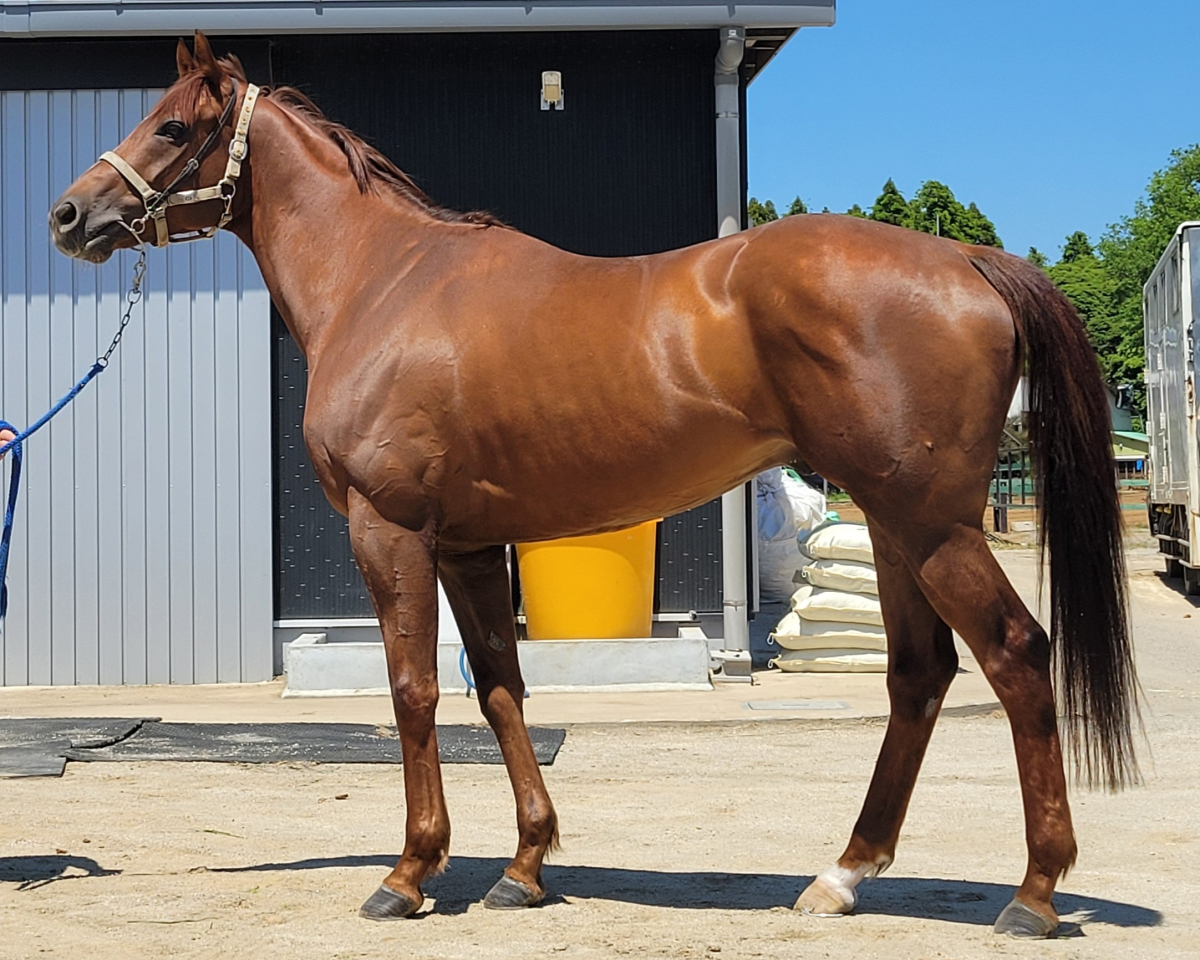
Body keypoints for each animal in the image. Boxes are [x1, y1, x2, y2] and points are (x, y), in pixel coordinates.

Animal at [48, 33, 1137, 938]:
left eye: (172, 126)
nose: (68, 214)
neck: (386, 281)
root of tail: (967, 259)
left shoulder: (390, 532)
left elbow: (413, 690)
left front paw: (409, 874)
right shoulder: (468, 546)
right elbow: (500, 688)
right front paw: (525, 866)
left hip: (934, 527)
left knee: (1016, 656)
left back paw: (1035, 893)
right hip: (895, 524)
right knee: (918, 676)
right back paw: (842, 876)